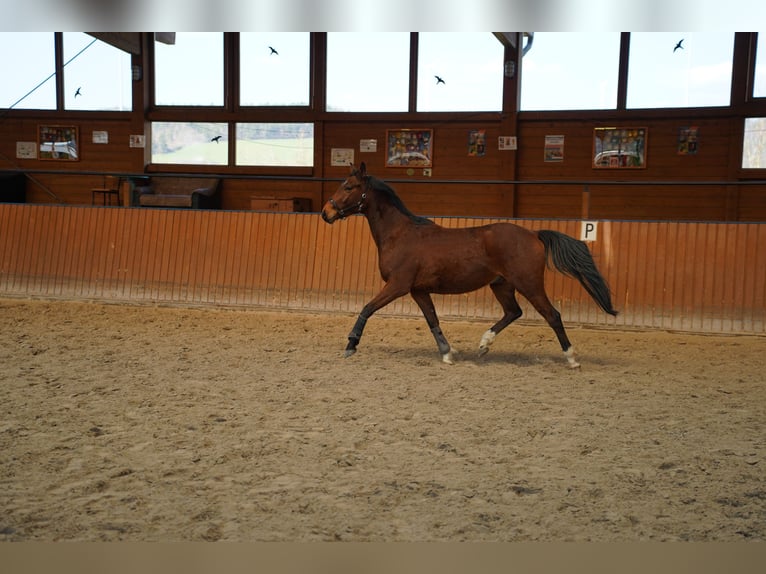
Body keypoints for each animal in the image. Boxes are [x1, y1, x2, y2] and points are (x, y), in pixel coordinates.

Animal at [320, 163, 618, 368]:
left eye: (348, 187)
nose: (326, 212)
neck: (400, 234)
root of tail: (534, 234)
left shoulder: (398, 285)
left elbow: (367, 308)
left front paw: (351, 344)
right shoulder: (419, 290)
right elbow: (433, 321)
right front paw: (447, 353)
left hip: (529, 284)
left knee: (552, 315)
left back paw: (572, 358)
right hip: (502, 286)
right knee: (513, 312)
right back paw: (484, 345)